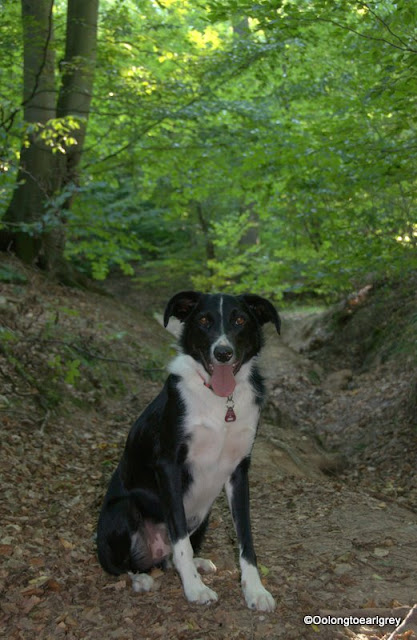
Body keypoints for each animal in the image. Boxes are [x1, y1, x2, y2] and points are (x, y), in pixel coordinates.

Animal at [97, 290, 280, 608]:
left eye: (240, 320)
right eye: (204, 321)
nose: (223, 353)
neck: (221, 401)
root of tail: (153, 556)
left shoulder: (239, 470)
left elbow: (245, 537)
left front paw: (255, 590)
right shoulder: (169, 465)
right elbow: (181, 539)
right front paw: (195, 588)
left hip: (204, 511)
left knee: (171, 558)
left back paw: (197, 563)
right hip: (124, 510)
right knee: (121, 565)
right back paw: (141, 578)